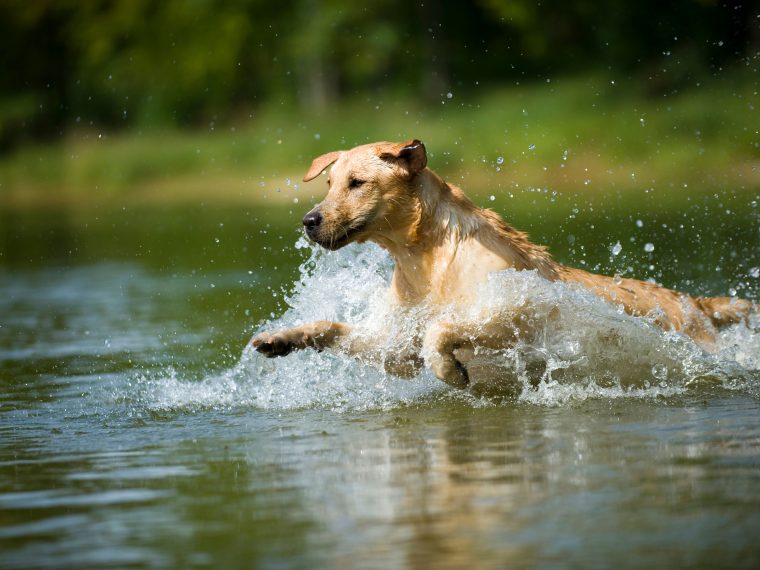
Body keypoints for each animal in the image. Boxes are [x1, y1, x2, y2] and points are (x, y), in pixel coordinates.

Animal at [251, 139, 756, 386]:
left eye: (357, 183)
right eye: (329, 183)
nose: (309, 221)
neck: (425, 259)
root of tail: (695, 303)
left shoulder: (520, 311)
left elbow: (442, 328)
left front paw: (452, 372)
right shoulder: (394, 345)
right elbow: (336, 328)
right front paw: (281, 338)